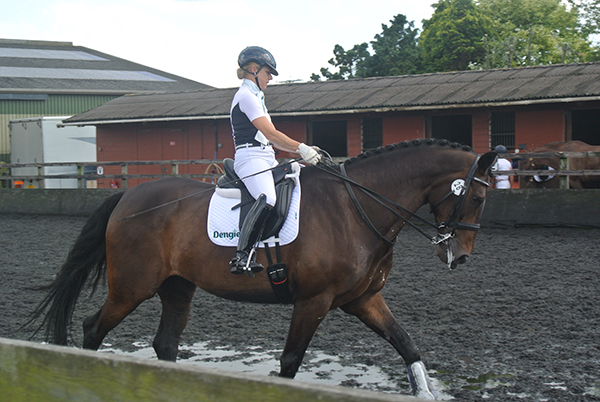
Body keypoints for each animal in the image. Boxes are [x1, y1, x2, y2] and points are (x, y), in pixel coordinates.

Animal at [29, 139, 496, 398]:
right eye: (476, 198)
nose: (459, 256)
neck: (356, 209)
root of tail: (128, 198)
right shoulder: (313, 301)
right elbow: (290, 363)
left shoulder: (364, 299)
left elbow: (407, 346)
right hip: (131, 287)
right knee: (93, 328)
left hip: (177, 287)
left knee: (165, 344)